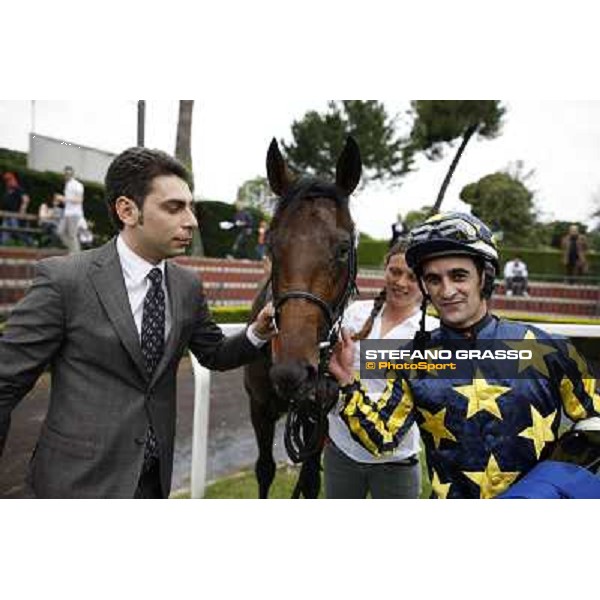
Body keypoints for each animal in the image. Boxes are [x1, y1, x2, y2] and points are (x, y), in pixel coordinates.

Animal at [243, 136, 360, 496]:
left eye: (343, 249)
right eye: (271, 244)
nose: (291, 372)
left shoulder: (316, 413)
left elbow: (310, 479)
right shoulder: (259, 407)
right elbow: (264, 469)